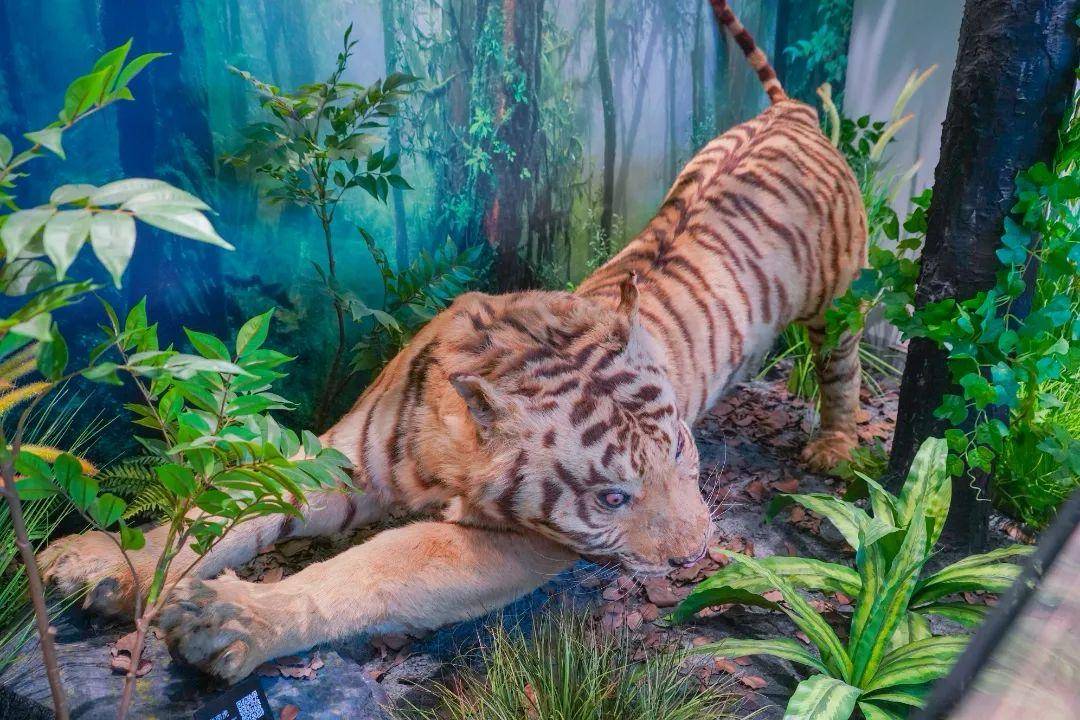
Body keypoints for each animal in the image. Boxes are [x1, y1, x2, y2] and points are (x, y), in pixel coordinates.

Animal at [38, 0, 866, 685]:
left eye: (682, 451)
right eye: (612, 496)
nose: (697, 551)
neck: (445, 440)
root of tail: (792, 113)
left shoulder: (517, 543)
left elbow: (374, 568)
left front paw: (235, 620)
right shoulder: (338, 460)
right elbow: (226, 502)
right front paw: (106, 564)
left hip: (839, 300)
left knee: (840, 366)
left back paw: (835, 446)